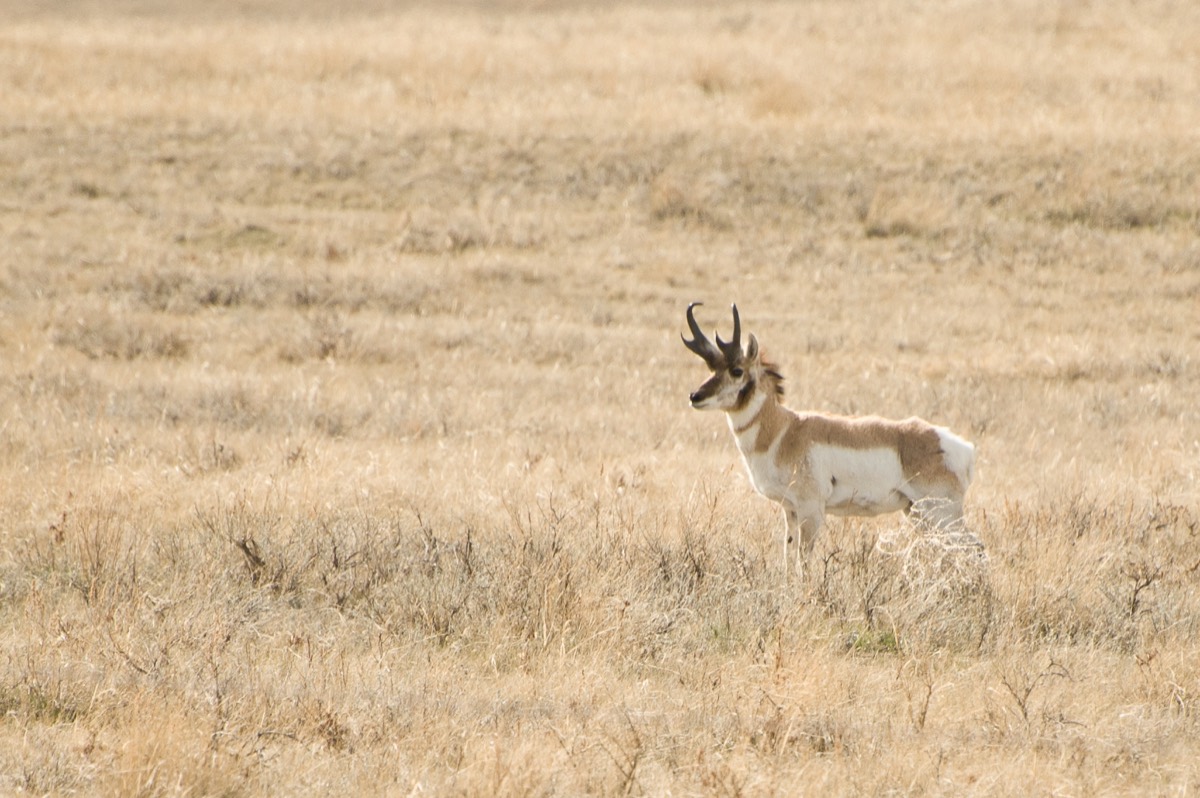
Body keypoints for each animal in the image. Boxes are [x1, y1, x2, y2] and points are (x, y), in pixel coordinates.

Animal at [682, 303, 977, 575]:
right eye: (710, 368)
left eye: (736, 370)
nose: (695, 396)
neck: (784, 431)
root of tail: (960, 446)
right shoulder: (790, 511)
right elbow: (788, 559)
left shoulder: (811, 510)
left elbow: (803, 563)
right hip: (918, 513)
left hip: (940, 513)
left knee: (973, 547)